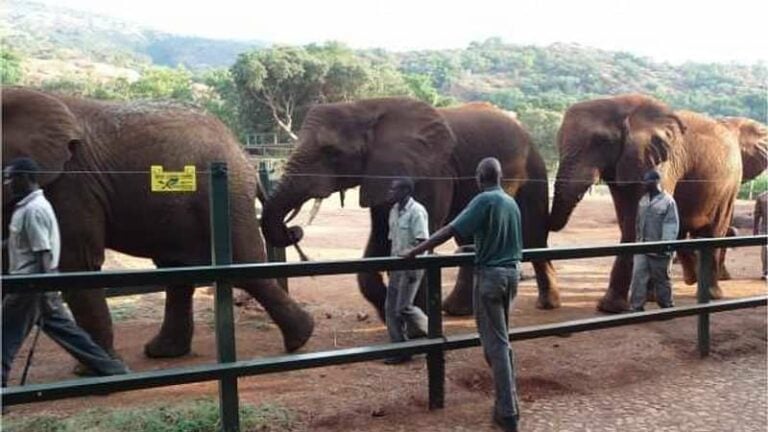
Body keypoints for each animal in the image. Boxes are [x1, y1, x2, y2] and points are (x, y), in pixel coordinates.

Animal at [1, 87, 314, 359]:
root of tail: (241, 150)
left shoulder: (71, 181)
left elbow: (76, 264)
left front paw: (93, 369)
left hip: (227, 195)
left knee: (244, 266)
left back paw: (301, 339)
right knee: (178, 268)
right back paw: (163, 352)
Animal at [260, 97, 560, 319]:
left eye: (332, 152)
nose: (294, 231)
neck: (366, 107)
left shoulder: (432, 171)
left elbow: (422, 237)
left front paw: (415, 319)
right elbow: (380, 237)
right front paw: (391, 315)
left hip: (533, 167)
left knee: (533, 232)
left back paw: (548, 304)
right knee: (469, 237)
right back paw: (456, 311)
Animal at [549, 93, 764, 313]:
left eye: (601, 141)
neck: (621, 104)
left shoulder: (662, 161)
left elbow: (634, 222)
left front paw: (610, 308)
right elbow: (629, 220)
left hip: (728, 186)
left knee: (713, 231)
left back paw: (710, 294)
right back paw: (668, 290)